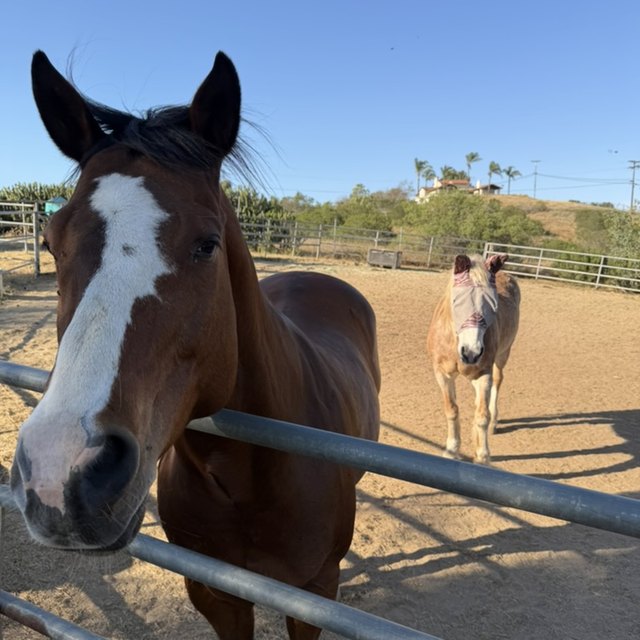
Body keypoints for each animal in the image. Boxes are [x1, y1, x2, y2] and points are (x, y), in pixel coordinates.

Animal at [10, 51, 381, 640]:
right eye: (49, 241)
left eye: (207, 244)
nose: (60, 472)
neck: (250, 476)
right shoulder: (214, 592)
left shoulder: (315, 595)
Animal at [426, 253, 520, 464]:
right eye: (456, 301)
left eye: (493, 305)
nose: (471, 352)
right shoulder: (442, 374)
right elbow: (452, 410)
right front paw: (451, 450)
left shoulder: (483, 373)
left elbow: (482, 416)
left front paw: (483, 456)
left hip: (503, 354)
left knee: (497, 383)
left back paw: (494, 422)